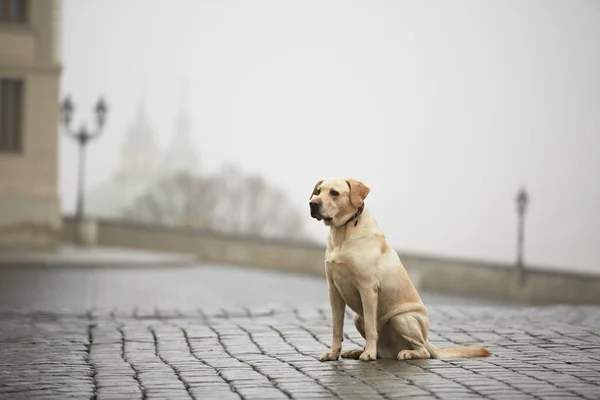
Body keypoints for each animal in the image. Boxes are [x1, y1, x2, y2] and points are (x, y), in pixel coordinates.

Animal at [312, 177, 490, 360]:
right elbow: (336, 327)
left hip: (402, 318)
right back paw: (359, 351)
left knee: (423, 351)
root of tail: (427, 339)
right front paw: (333, 353)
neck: (343, 232)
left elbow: (370, 328)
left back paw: (404, 353)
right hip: (358, 317)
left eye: (334, 193)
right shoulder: (334, 291)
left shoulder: (368, 289)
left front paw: (368, 354)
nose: (312, 204)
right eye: (318, 191)